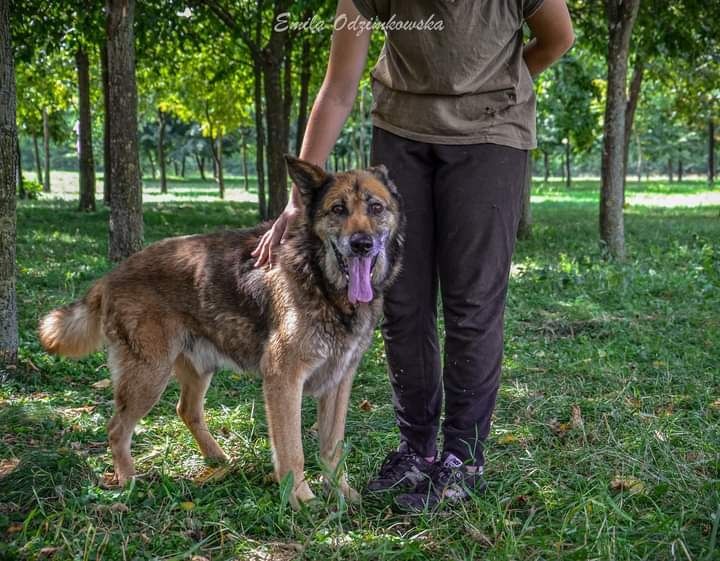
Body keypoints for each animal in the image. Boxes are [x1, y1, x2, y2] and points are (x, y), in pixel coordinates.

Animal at [38, 154, 404, 508]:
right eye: (338, 209)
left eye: (375, 208)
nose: (361, 244)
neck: (321, 279)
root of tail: (110, 276)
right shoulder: (284, 379)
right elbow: (292, 450)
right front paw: (300, 499)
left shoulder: (339, 381)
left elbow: (332, 447)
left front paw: (340, 492)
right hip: (148, 376)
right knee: (117, 429)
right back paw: (129, 482)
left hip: (197, 371)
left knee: (185, 411)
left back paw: (216, 458)